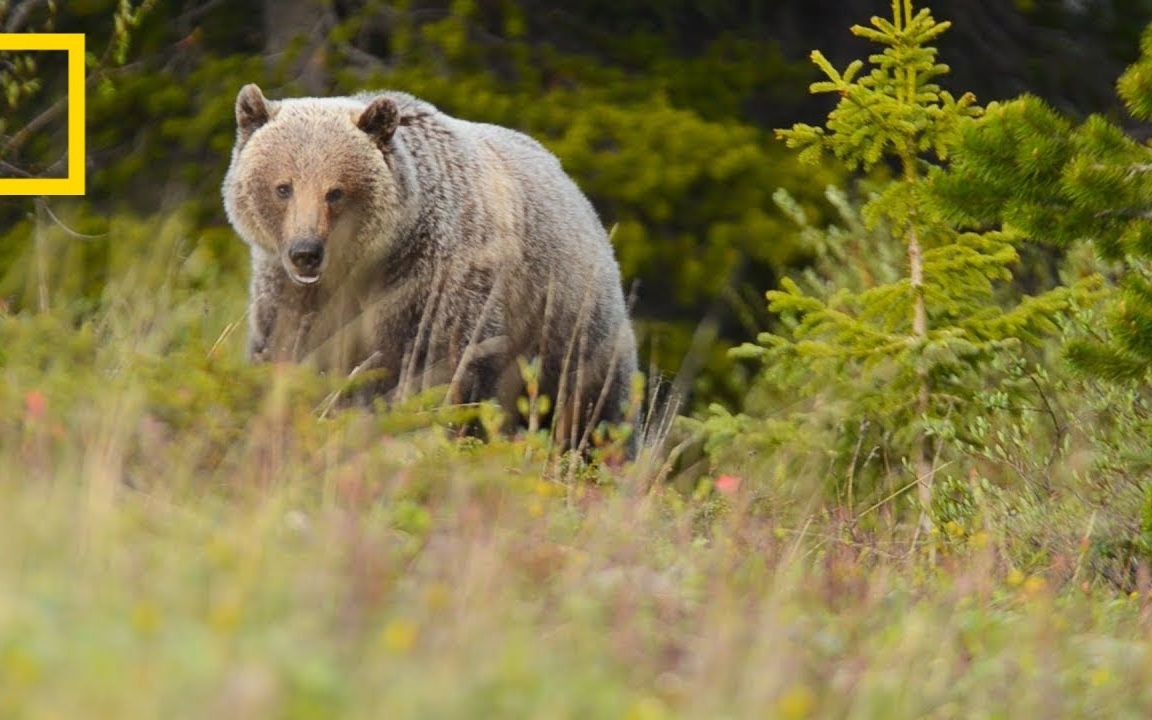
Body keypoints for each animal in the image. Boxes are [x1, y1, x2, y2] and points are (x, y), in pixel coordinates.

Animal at [222, 84, 640, 449]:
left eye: (335, 191)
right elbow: (289, 351)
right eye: (283, 187)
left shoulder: (434, 284)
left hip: (570, 328)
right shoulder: (291, 295)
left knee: (594, 411)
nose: (305, 251)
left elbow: (443, 372)